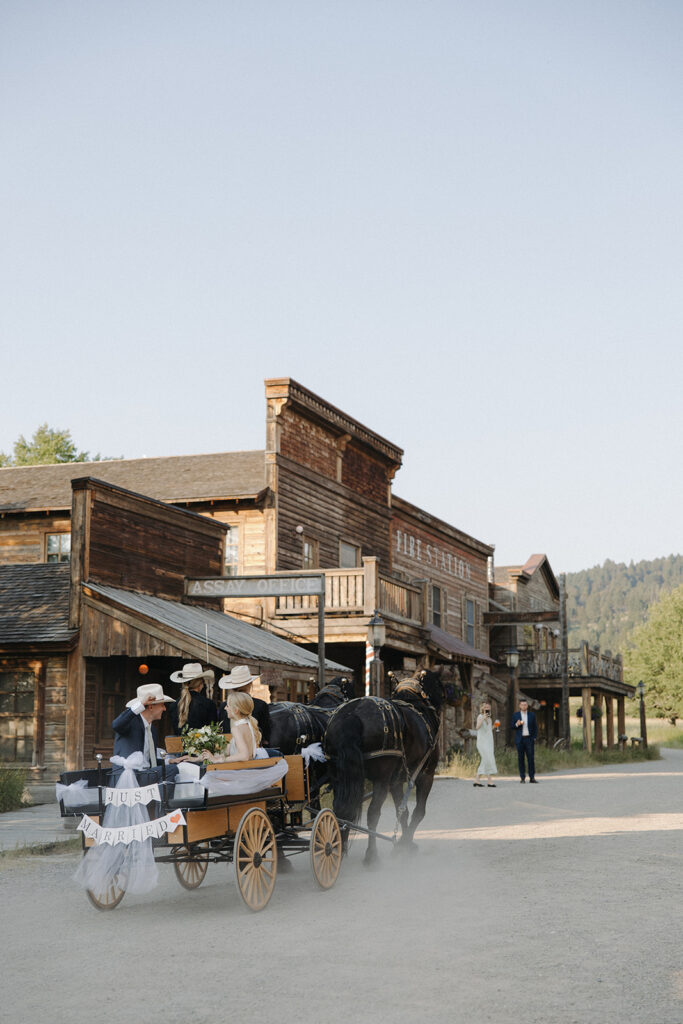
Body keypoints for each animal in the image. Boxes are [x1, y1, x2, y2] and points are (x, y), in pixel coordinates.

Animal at [325, 671, 448, 864]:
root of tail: (352, 715)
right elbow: (418, 812)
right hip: (381, 779)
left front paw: (403, 844)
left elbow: (402, 812)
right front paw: (405, 842)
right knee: (373, 813)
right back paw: (371, 855)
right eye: (439, 685)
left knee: (340, 809)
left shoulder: (396, 781)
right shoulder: (426, 775)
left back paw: (338, 847)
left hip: (339, 777)